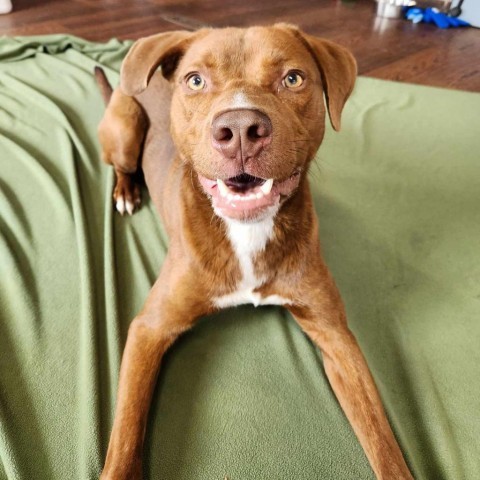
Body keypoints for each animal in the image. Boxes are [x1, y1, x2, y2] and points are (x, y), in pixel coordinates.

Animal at [96, 24, 412, 480]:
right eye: (195, 80)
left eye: (293, 78)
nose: (240, 128)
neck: (246, 231)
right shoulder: (149, 329)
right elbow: (124, 436)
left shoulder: (335, 334)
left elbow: (383, 440)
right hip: (123, 128)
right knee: (121, 163)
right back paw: (125, 191)